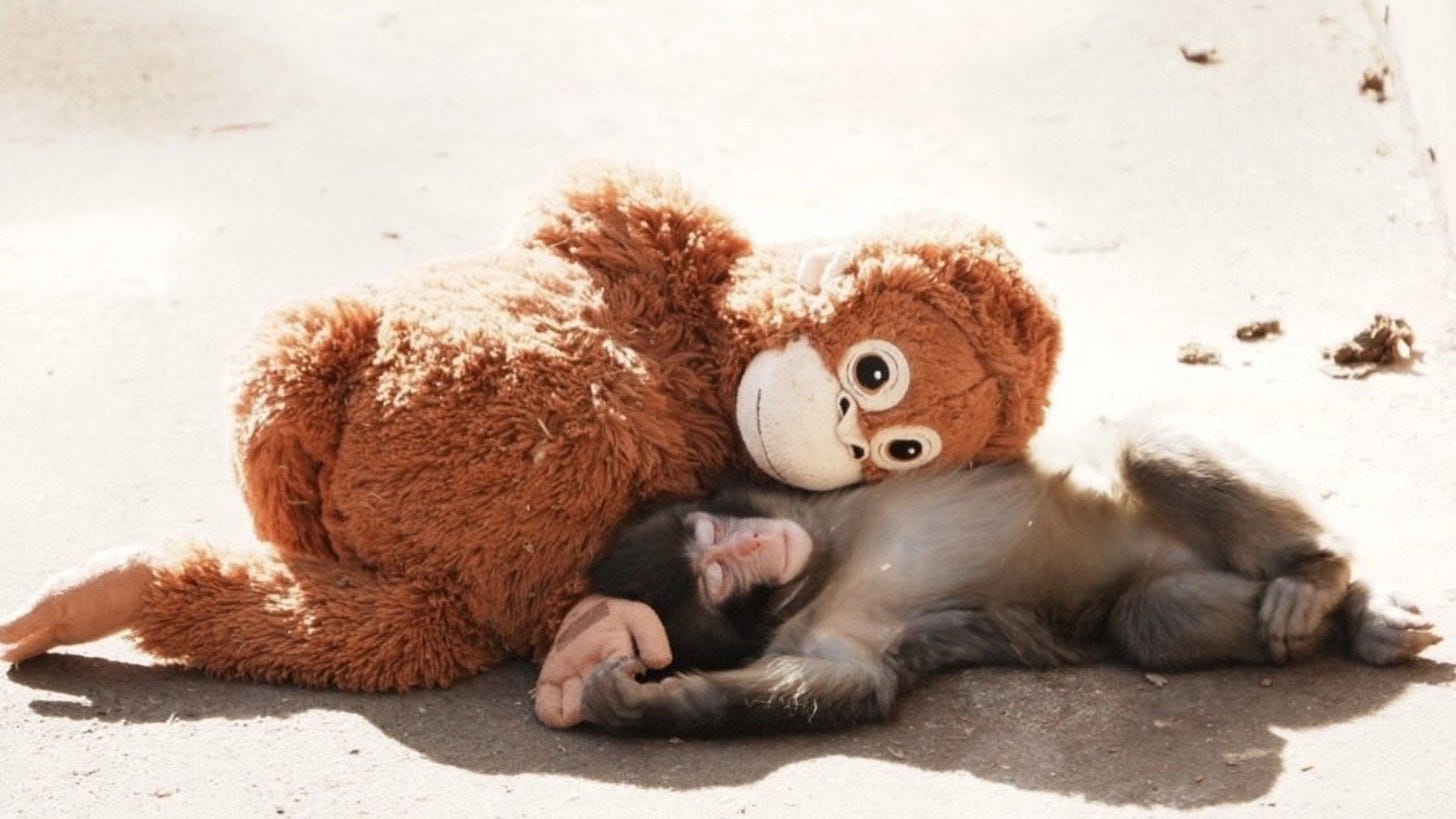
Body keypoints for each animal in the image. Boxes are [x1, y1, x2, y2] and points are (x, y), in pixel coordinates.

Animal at [571, 417, 1442, 736]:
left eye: (715, 535)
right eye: (714, 573)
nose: (756, 543)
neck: (822, 565)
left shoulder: (803, 495)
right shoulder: (820, 633)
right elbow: (852, 684)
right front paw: (648, 703)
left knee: (1140, 449)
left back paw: (1324, 574)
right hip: (1172, 583)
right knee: (1147, 618)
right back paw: (1339, 607)